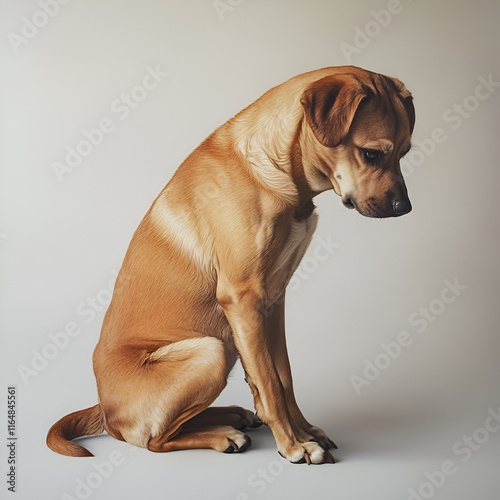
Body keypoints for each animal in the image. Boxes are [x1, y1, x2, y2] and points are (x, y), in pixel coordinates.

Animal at [47, 65, 414, 464]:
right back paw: (224, 435)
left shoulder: (273, 302)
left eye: (404, 152)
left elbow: (283, 377)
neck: (280, 173)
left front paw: (304, 430)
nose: (405, 209)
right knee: (154, 440)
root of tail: (105, 409)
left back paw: (231, 415)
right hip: (211, 351)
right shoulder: (242, 300)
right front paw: (294, 445)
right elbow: (270, 383)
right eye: (371, 153)